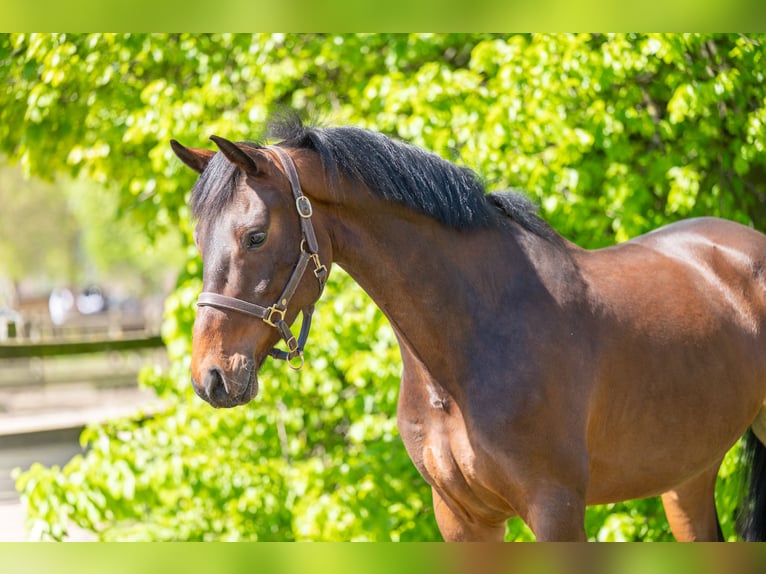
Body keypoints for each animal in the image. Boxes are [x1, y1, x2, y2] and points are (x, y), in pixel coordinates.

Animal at [171, 115, 766, 541]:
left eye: (254, 236)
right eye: (199, 242)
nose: (211, 377)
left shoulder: (556, 511)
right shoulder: (461, 518)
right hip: (688, 476)